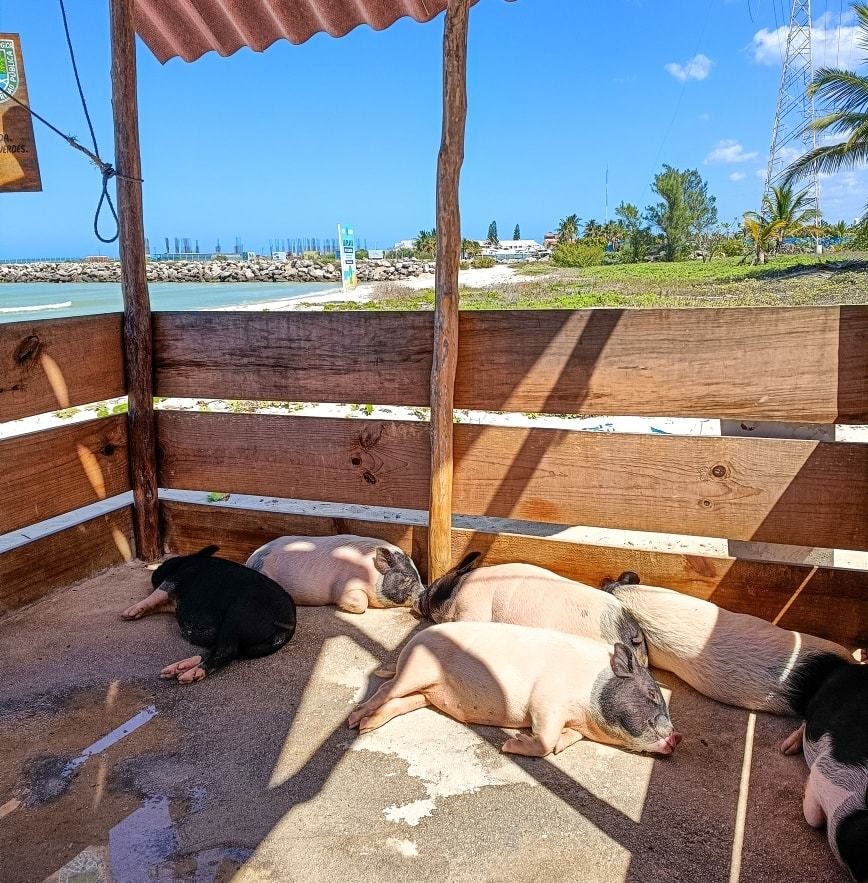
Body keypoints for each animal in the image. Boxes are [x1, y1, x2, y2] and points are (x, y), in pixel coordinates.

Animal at [244, 536, 424, 612]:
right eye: (405, 576)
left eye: (419, 576)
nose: (424, 592)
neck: (371, 574)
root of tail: (251, 560)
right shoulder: (347, 585)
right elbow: (361, 604)